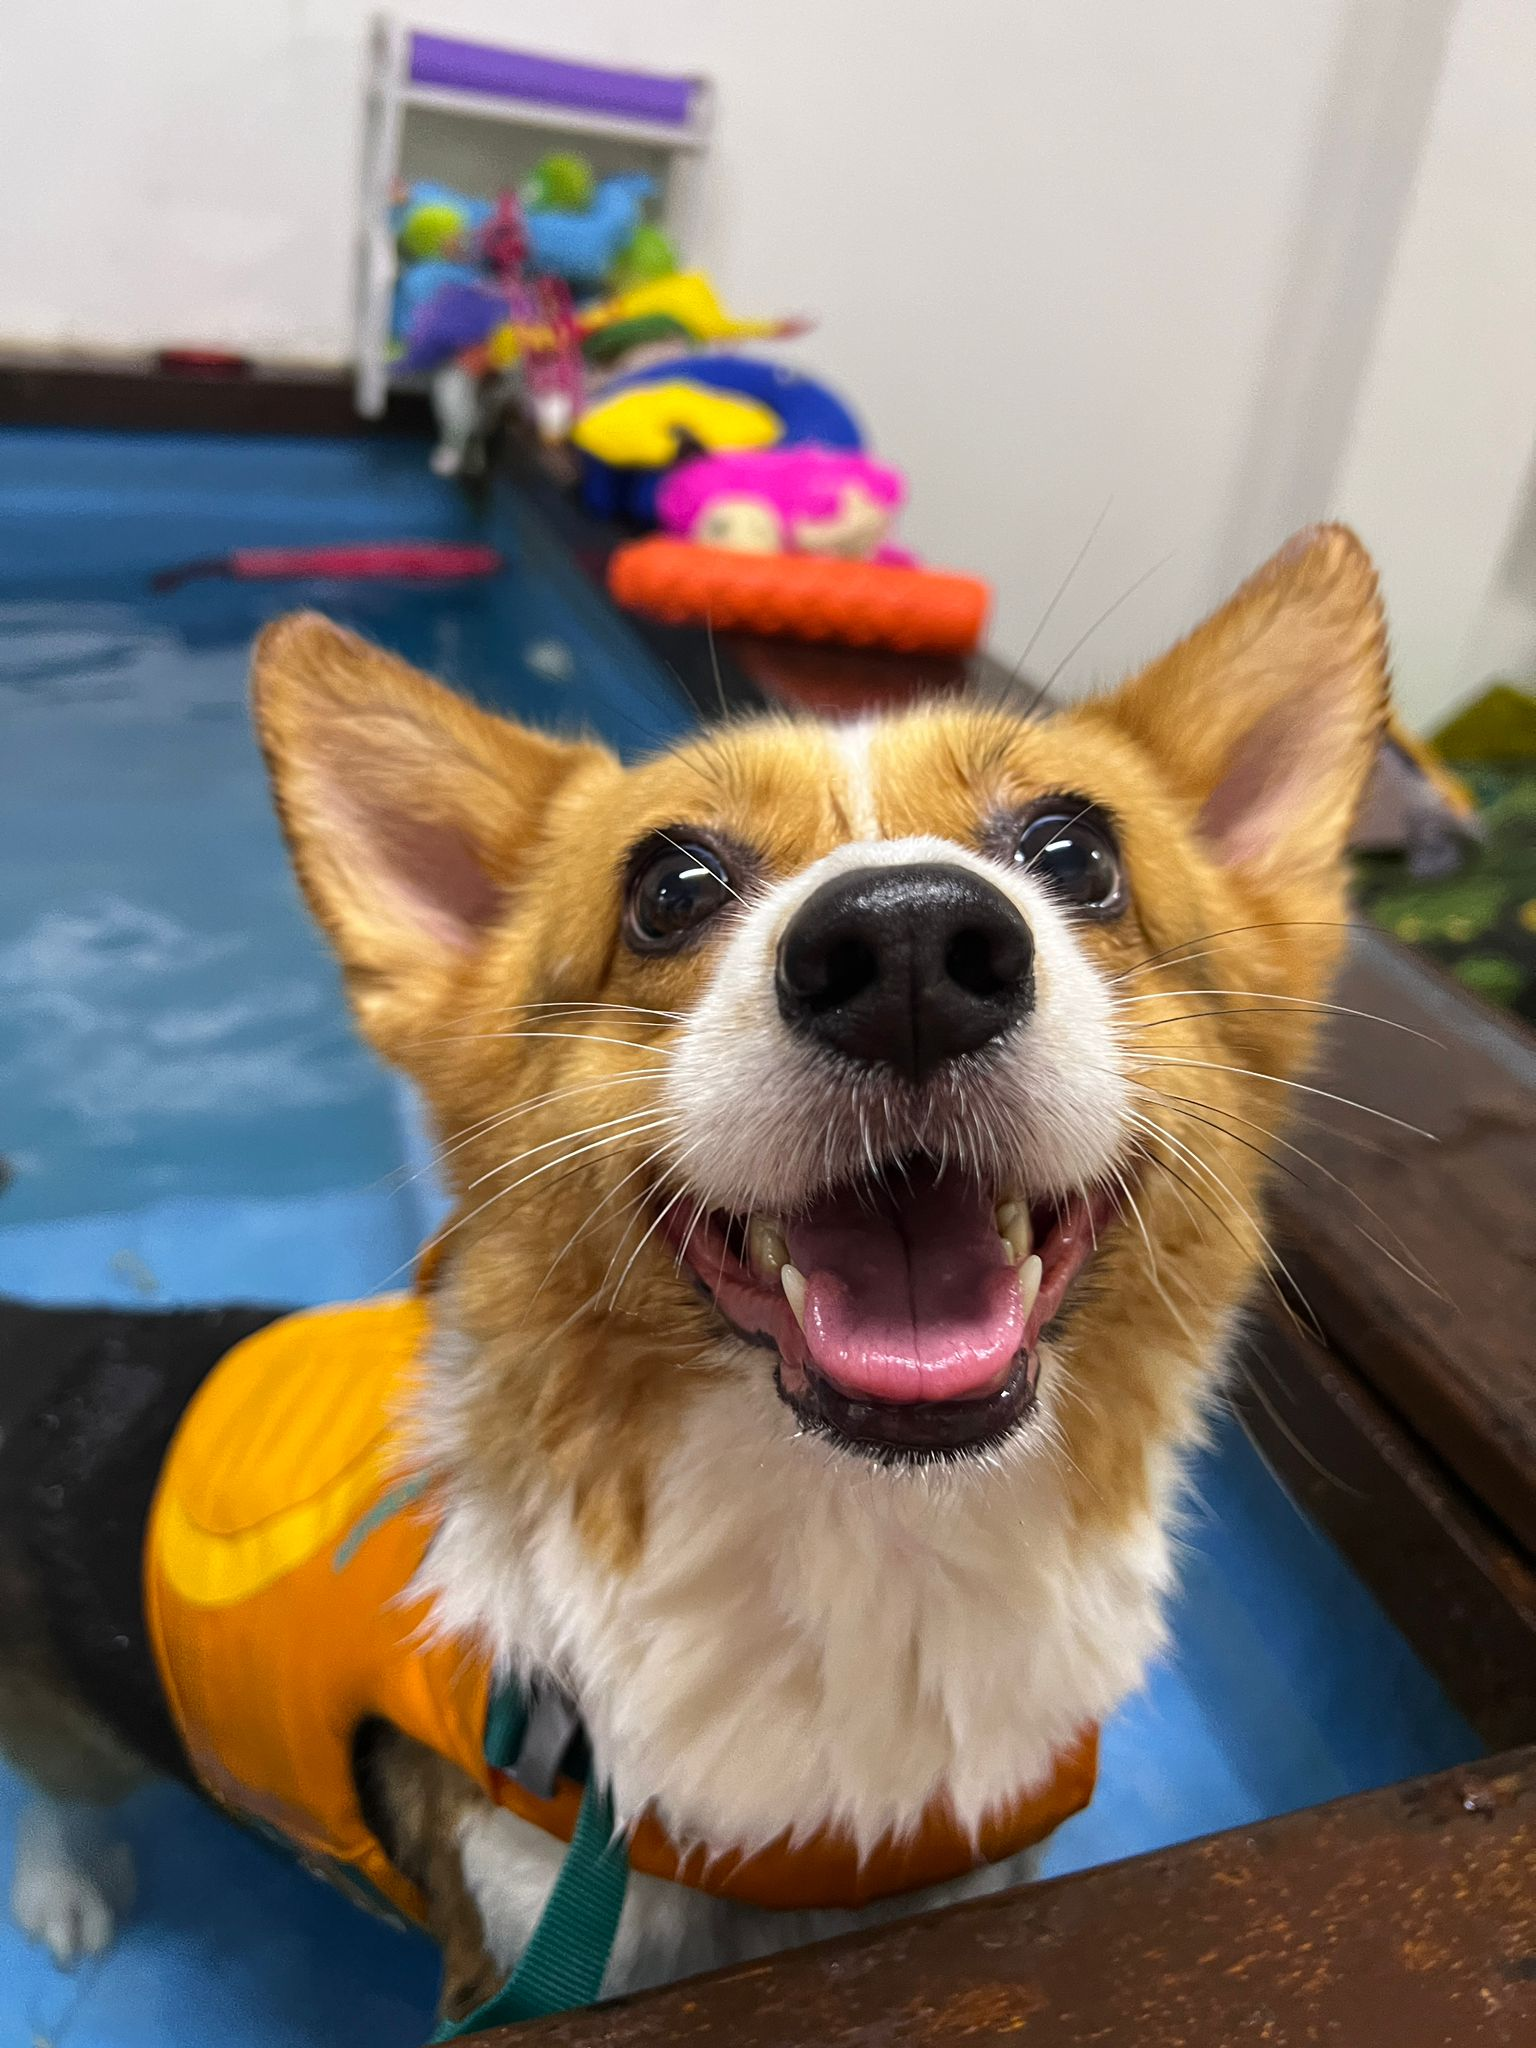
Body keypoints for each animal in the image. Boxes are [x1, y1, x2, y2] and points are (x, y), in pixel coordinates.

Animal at [0, 520, 1392, 2023]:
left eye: (1076, 852)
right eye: (670, 890)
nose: (908, 945)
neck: (872, 1545)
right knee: (61, 1786)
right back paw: (66, 1882)